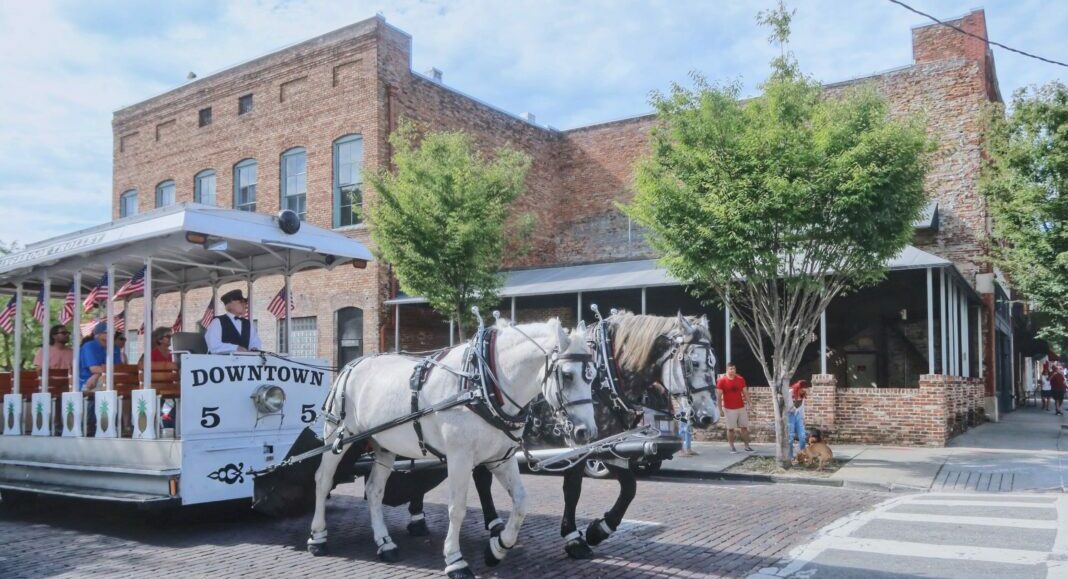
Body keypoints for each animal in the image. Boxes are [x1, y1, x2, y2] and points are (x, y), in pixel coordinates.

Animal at [307, 320, 602, 576]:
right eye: (567, 375)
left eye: (592, 376)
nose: (586, 432)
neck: (483, 384)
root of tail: (352, 364)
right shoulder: (460, 457)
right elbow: (457, 508)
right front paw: (455, 560)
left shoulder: (500, 457)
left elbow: (520, 503)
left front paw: (497, 548)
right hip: (338, 436)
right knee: (322, 480)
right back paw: (318, 537)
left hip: (383, 445)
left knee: (374, 491)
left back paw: (385, 543)